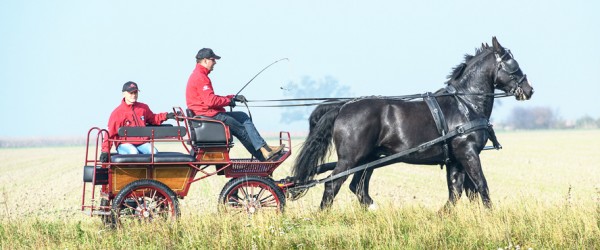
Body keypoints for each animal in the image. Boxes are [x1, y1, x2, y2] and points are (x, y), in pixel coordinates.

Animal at [290, 36, 536, 209]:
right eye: (513, 65)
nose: (529, 90)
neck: (464, 103)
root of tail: (342, 107)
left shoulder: (455, 158)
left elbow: (457, 191)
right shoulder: (468, 153)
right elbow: (481, 186)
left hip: (368, 159)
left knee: (358, 187)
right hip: (351, 158)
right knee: (333, 184)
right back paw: (322, 216)